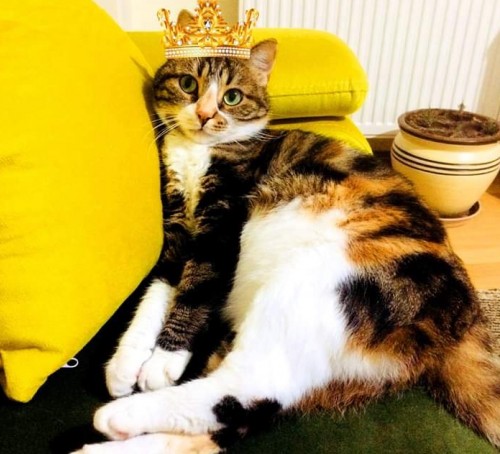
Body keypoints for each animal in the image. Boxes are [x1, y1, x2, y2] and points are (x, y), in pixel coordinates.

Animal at [73, 35, 500, 454]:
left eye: (231, 96)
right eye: (188, 84)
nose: (206, 114)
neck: (198, 153)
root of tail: (466, 318)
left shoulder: (219, 232)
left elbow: (193, 293)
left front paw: (163, 361)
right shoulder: (178, 233)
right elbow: (156, 296)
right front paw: (125, 363)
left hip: (312, 281)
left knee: (245, 388)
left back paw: (117, 417)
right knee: (236, 419)